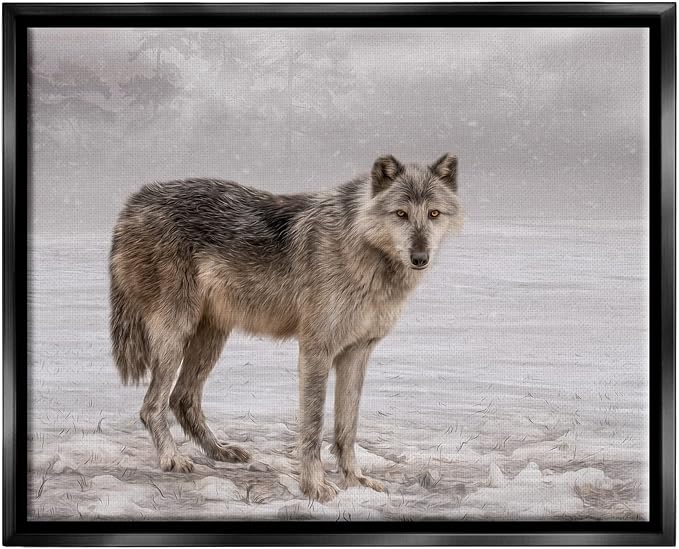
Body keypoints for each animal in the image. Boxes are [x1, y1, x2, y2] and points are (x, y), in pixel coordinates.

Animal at [109, 153, 463, 502]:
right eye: (401, 214)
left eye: (433, 214)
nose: (420, 257)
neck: (362, 251)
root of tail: (134, 201)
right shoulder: (316, 349)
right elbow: (313, 426)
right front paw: (316, 487)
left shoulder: (357, 352)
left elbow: (347, 428)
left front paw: (356, 481)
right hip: (176, 334)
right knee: (152, 405)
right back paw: (172, 458)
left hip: (211, 337)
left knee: (181, 398)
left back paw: (220, 451)